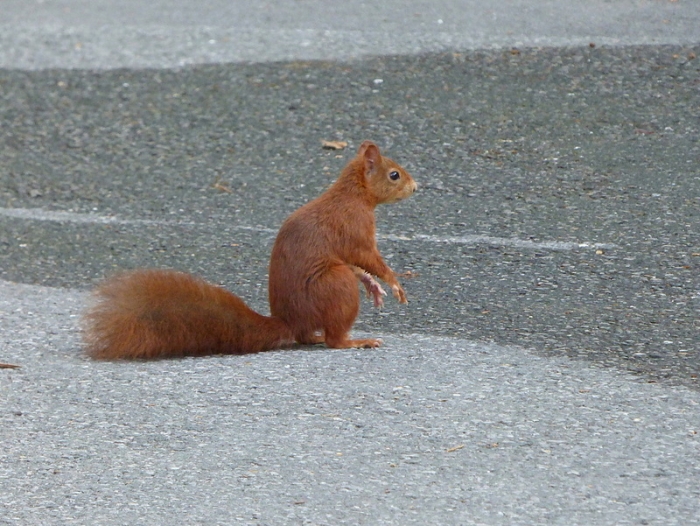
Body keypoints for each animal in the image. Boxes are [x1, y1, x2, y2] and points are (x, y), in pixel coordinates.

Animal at [83, 140, 417, 360]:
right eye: (394, 175)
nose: (416, 187)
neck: (354, 194)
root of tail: (289, 320)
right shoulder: (355, 228)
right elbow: (367, 258)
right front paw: (393, 282)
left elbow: (359, 265)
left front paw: (373, 284)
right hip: (335, 284)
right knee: (333, 339)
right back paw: (355, 341)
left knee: (308, 336)